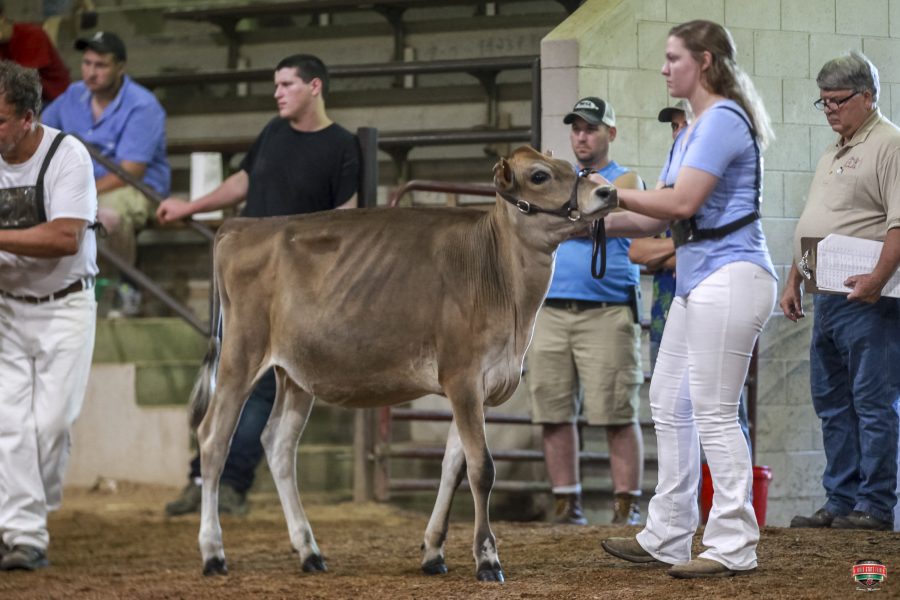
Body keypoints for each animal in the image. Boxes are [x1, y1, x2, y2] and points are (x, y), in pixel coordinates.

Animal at [189, 146, 617, 582]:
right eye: (540, 175)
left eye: (570, 166)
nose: (608, 191)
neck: (498, 278)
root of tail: (239, 227)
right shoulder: (463, 377)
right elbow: (482, 468)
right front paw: (487, 559)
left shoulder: (477, 388)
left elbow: (453, 467)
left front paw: (433, 551)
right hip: (241, 355)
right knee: (212, 440)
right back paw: (213, 553)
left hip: (293, 373)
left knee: (278, 444)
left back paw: (309, 551)